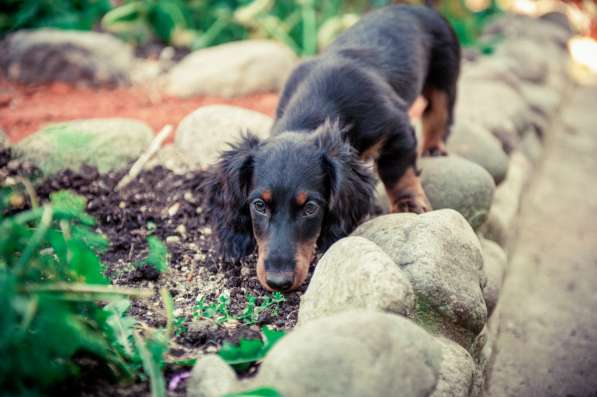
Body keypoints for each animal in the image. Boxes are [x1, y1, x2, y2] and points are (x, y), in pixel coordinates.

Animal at [205, 5, 460, 290]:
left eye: (310, 208)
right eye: (259, 205)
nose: (278, 282)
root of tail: (414, 6)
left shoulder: (397, 127)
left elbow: (398, 171)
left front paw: (408, 203)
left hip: (445, 72)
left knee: (437, 111)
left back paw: (434, 146)